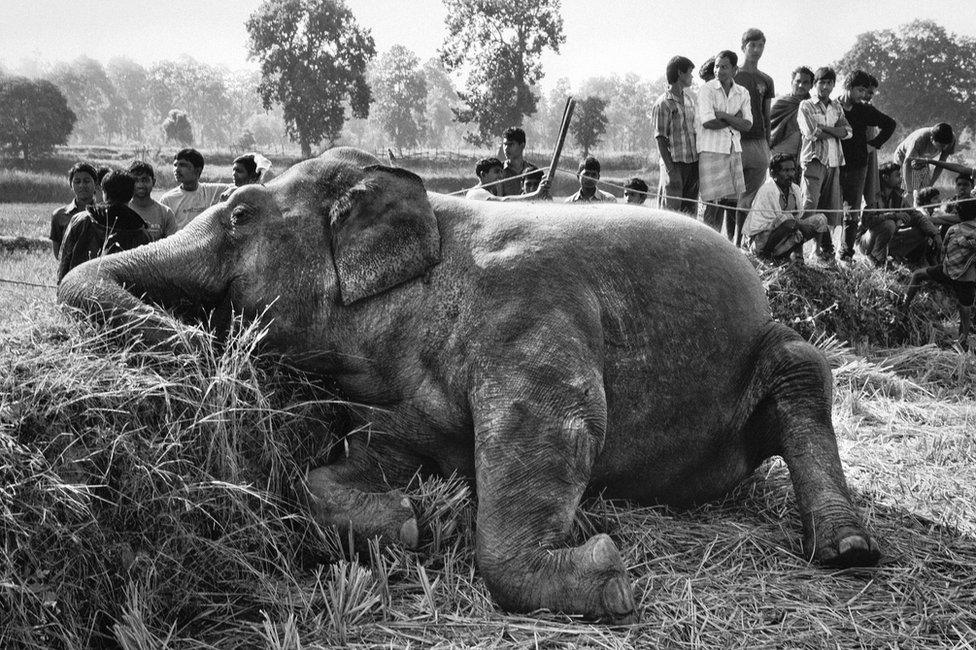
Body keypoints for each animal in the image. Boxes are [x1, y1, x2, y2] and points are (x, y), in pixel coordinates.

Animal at [59, 144, 884, 620]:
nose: (202, 350)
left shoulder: (528, 318)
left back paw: (848, 550)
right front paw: (405, 523)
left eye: (236, 214)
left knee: (804, 381)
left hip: (772, 346)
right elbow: (348, 466)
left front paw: (608, 573)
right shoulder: (395, 392)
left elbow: (560, 425)